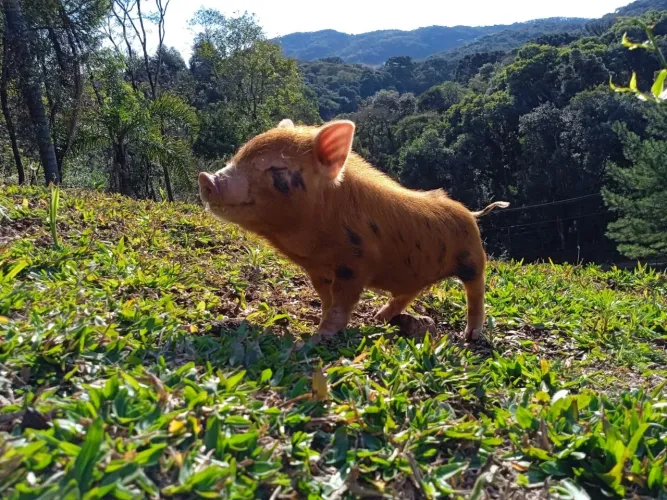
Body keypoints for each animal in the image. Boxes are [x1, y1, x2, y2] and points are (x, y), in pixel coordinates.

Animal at [198, 119, 509, 345]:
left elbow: (341, 302)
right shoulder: (318, 270)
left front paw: (318, 337)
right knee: (409, 292)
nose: (206, 178)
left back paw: (471, 336)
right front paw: (322, 324)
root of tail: (470, 213)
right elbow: (326, 298)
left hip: (472, 259)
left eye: (277, 169)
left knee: (476, 290)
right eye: (239, 154)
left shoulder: (356, 263)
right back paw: (379, 317)